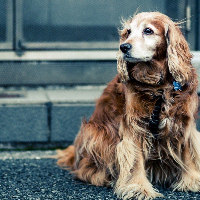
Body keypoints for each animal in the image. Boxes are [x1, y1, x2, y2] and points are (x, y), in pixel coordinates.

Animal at [55, 12, 200, 200]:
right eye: (128, 32)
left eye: (148, 30)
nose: (123, 47)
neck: (158, 87)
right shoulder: (134, 126)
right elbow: (135, 159)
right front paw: (138, 187)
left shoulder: (184, 122)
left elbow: (189, 152)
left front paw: (192, 180)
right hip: (95, 133)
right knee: (86, 170)